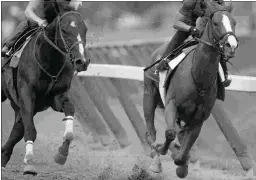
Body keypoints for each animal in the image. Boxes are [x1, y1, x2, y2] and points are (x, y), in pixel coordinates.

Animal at [1, 9, 90, 174]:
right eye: (65, 30)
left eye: (85, 29)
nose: (82, 61)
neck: (48, 61)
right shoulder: (26, 95)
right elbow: (30, 130)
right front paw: (29, 164)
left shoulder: (57, 97)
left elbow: (70, 111)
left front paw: (62, 154)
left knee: (17, 130)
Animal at [144, 1, 238, 179]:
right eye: (215, 23)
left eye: (234, 22)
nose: (231, 46)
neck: (198, 77)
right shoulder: (171, 104)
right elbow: (169, 133)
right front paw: (164, 149)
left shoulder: (198, 118)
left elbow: (182, 154)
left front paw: (182, 165)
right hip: (149, 96)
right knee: (151, 132)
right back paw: (156, 162)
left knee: (179, 134)